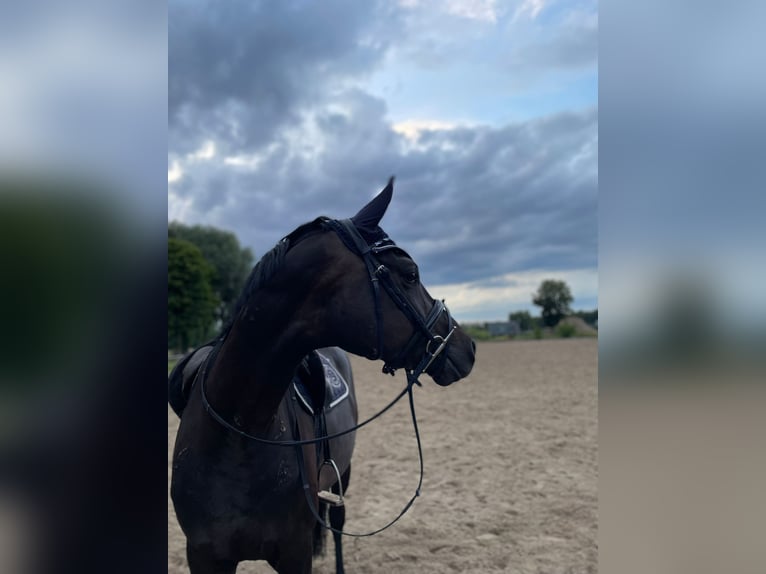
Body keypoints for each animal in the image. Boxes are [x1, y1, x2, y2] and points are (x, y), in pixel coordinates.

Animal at [169, 178, 476, 574]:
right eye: (410, 274)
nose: (467, 348)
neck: (237, 431)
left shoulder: (295, 552)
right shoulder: (205, 556)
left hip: (343, 474)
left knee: (338, 525)